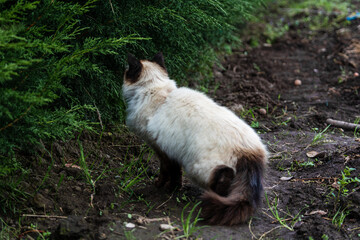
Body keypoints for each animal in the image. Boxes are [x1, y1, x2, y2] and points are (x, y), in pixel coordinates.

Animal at [123, 52, 268, 225]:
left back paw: (215, 196)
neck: (157, 93)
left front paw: (160, 186)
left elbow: (165, 171)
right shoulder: (171, 151)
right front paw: (173, 189)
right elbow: (176, 174)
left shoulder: (161, 150)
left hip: (197, 168)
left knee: (222, 178)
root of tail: (250, 150)